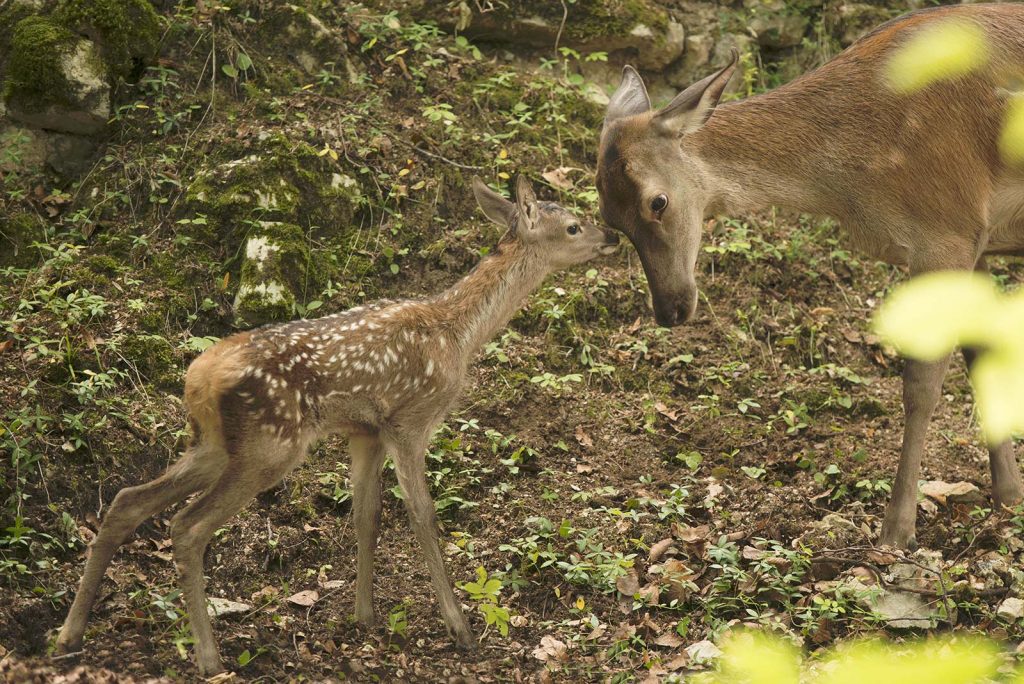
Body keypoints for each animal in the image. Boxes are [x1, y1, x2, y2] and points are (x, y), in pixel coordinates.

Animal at [56, 176, 614, 671]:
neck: (457, 332)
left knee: (127, 501)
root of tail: (198, 377)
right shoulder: (410, 419)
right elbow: (422, 516)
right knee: (187, 526)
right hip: (269, 444)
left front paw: (365, 616)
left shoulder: (365, 431)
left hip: (214, 443)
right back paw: (209, 658)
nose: (611, 235)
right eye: (572, 226)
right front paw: (460, 628)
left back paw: (69, 634)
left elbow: (366, 515)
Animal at [598, 2, 1024, 548]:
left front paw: (896, 530)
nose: (670, 309)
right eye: (610, 221)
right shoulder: (977, 238)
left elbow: (922, 385)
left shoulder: (948, 228)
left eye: (658, 201)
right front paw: (1008, 496)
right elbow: (982, 353)